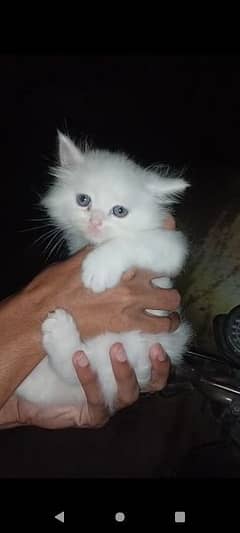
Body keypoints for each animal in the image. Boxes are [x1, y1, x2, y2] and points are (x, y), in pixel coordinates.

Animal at [15, 131, 192, 410]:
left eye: (119, 211)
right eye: (83, 200)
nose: (95, 222)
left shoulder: (170, 244)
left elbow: (131, 241)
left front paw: (98, 269)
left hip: (137, 346)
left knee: (83, 365)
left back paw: (59, 331)